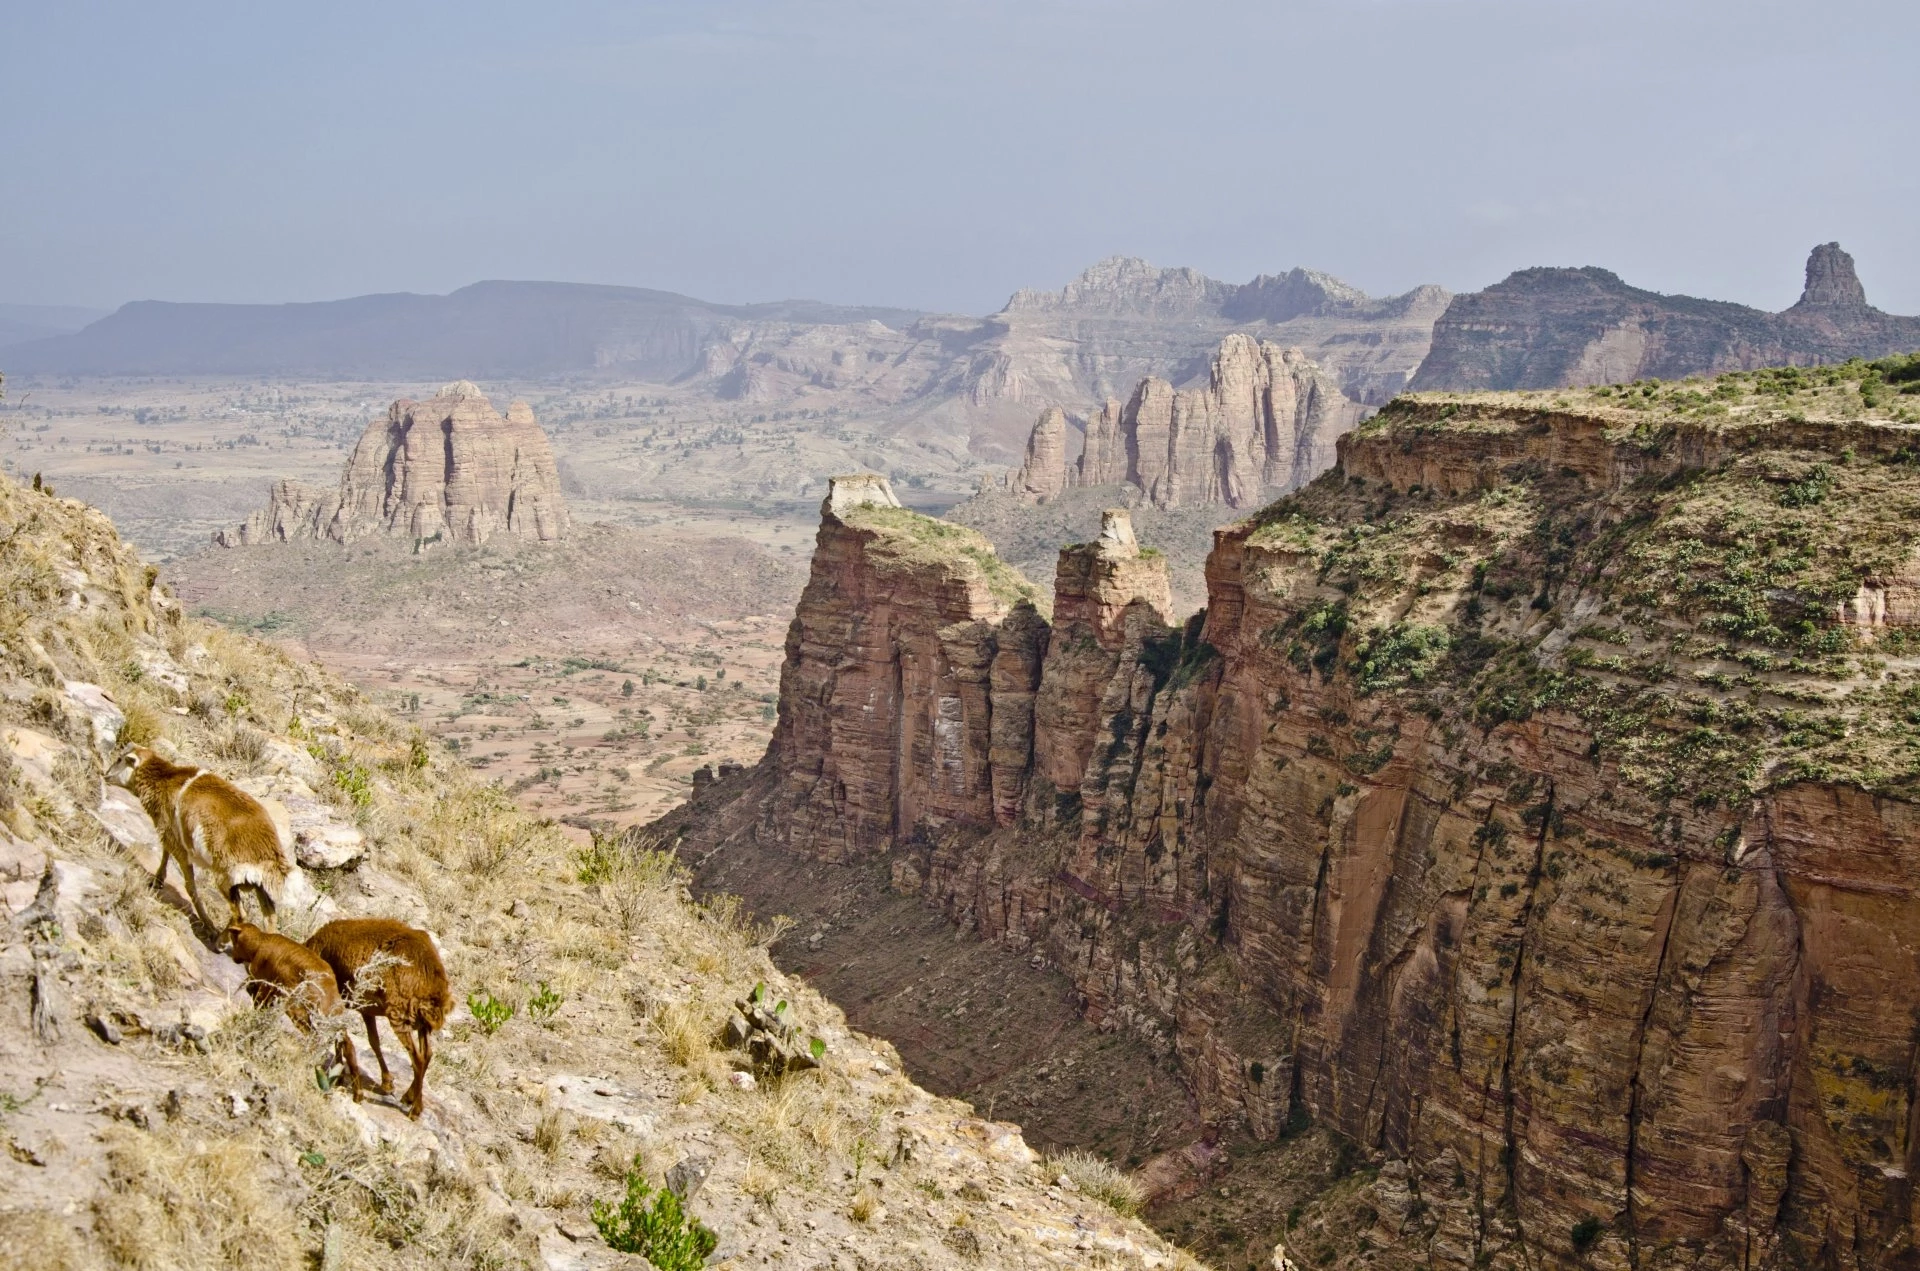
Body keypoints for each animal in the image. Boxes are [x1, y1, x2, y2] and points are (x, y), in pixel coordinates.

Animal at [108, 748, 288, 936]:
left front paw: (208, 924)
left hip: (225, 880)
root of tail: (269, 854)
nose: (105, 775)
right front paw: (158, 880)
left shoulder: (176, 843)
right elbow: (166, 853)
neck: (166, 779)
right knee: (269, 918)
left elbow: (189, 886)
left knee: (240, 914)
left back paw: (220, 939)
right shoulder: (170, 835)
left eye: (120, 759)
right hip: (260, 888)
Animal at [309, 921, 455, 1121]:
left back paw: (415, 1110)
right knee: (427, 1054)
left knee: (417, 1058)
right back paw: (408, 1097)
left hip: (399, 1016)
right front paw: (387, 1083)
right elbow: (374, 1042)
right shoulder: (367, 1011)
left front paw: (340, 1077)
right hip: (421, 1024)